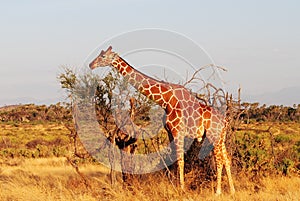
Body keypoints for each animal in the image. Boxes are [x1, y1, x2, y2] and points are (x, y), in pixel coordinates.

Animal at [88, 46, 234, 195]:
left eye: (103, 56)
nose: (91, 65)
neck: (166, 100)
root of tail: (225, 122)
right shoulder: (170, 132)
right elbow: (174, 160)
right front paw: (175, 186)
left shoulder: (178, 132)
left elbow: (180, 160)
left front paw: (182, 189)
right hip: (221, 137)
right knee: (227, 159)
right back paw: (232, 190)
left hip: (213, 136)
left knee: (219, 160)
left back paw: (218, 191)